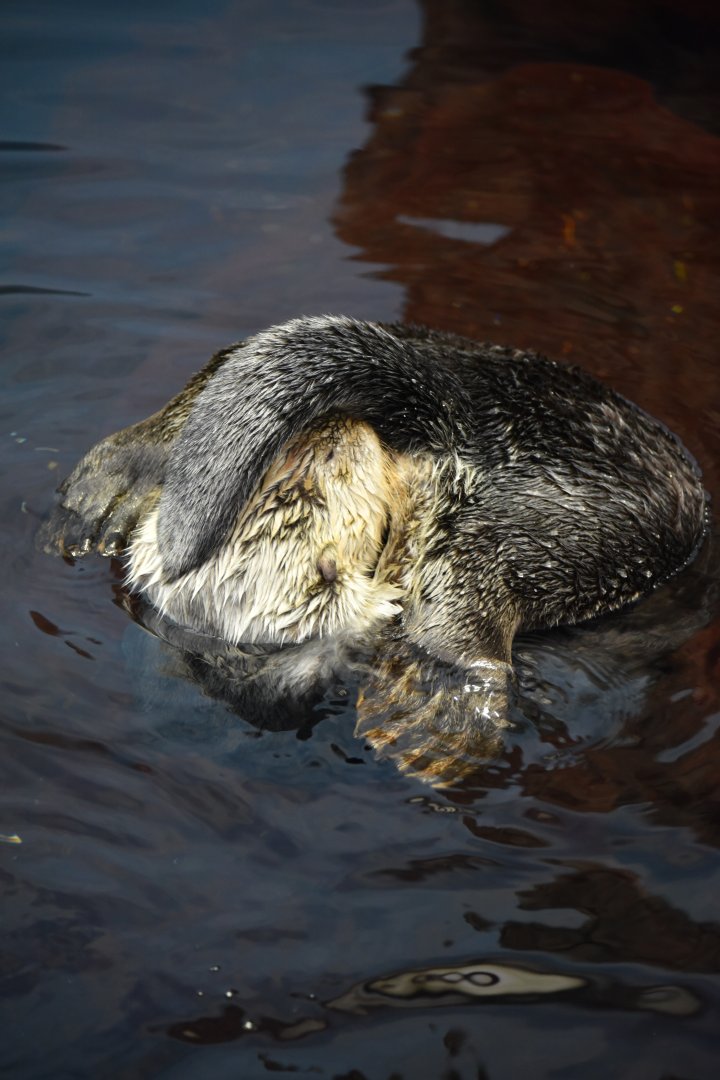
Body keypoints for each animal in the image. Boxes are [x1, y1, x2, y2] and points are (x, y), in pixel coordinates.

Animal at [41, 316, 708, 782]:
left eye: (291, 470)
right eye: (320, 480)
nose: (337, 430)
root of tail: (460, 416)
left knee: (222, 368)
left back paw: (106, 489)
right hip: (595, 527)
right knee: (473, 602)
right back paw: (439, 721)